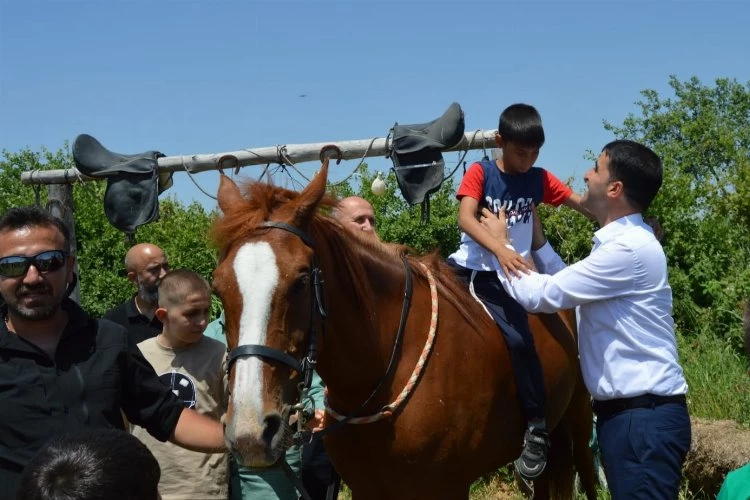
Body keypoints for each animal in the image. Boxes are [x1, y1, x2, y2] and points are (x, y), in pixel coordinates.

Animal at [212, 161, 600, 500]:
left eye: (302, 280)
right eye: (218, 286)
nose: (250, 432)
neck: (384, 371)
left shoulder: (448, 488)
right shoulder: (368, 489)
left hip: (580, 420)